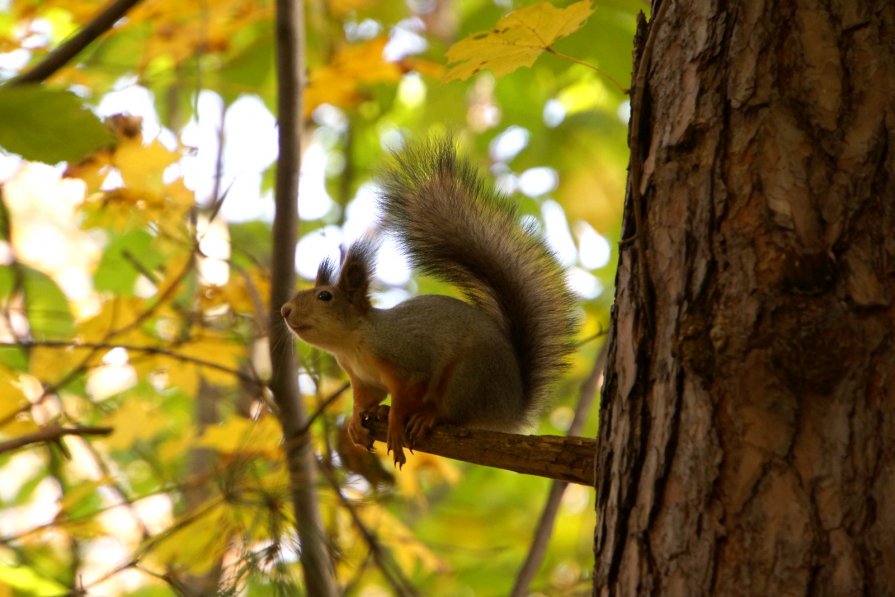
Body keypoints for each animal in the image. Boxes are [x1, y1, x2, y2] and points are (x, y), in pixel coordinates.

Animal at [286, 139, 580, 466]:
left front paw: (394, 424)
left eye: (325, 296)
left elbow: (407, 394)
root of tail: (510, 409)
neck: (353, 344)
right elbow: (365, 401)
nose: (285, 310)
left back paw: (427, 416)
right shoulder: (363, 380)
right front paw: (356, 422)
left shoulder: (407, 360)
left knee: (451, 412)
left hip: (468, 377)